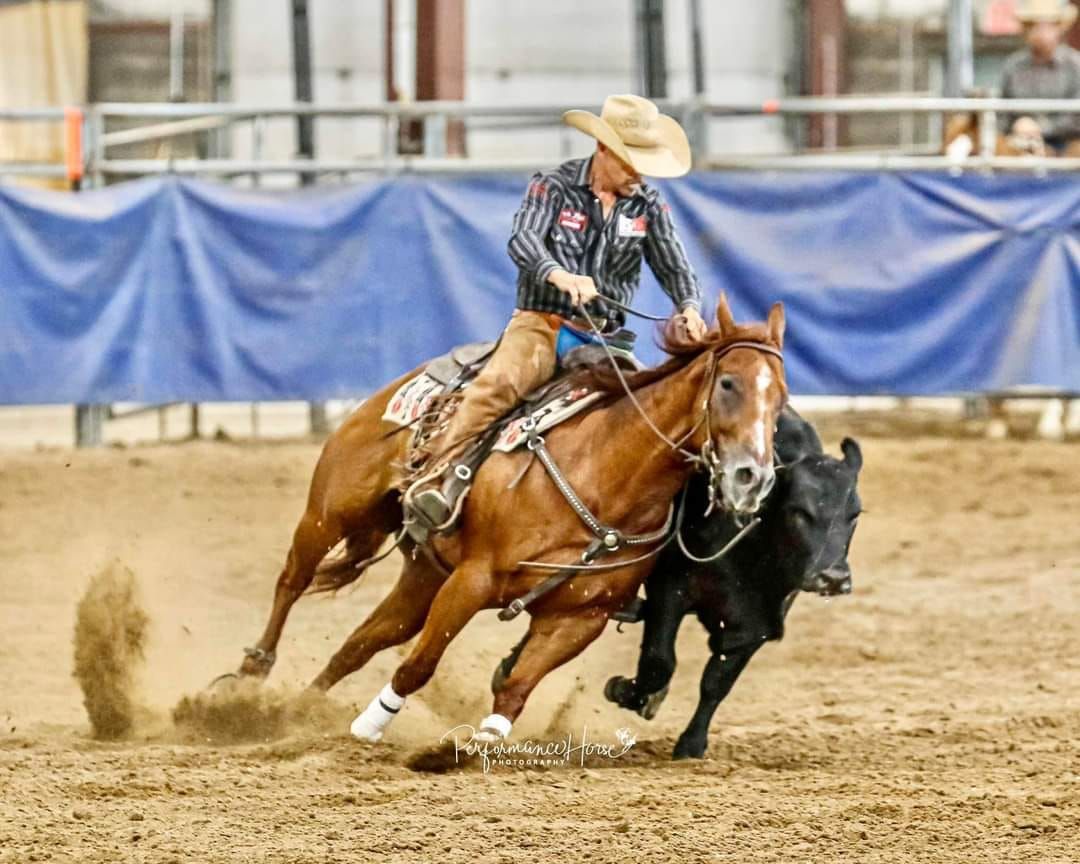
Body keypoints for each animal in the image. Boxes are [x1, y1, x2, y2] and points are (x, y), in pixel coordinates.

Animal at [236, 298, 786, 743]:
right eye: (729, 383)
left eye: (780, 398)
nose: (751, 477)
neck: (605, 475)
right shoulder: (472, 581)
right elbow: (418, 666)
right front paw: (368, 727)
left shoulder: (578, 618)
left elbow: (516, 687)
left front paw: (474, 746)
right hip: (330, 514)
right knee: (293, 581)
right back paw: (246, 679)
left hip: (423, 574)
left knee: (360, 643)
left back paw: (295, 712)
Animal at [604, 410, 864, 756]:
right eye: (799, 512)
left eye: (854, 514)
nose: (833, 578)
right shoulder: (670, 588)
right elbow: (658, 662)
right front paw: (624, 690)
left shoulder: (757, 623)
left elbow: (718, 681)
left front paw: (692, 743)